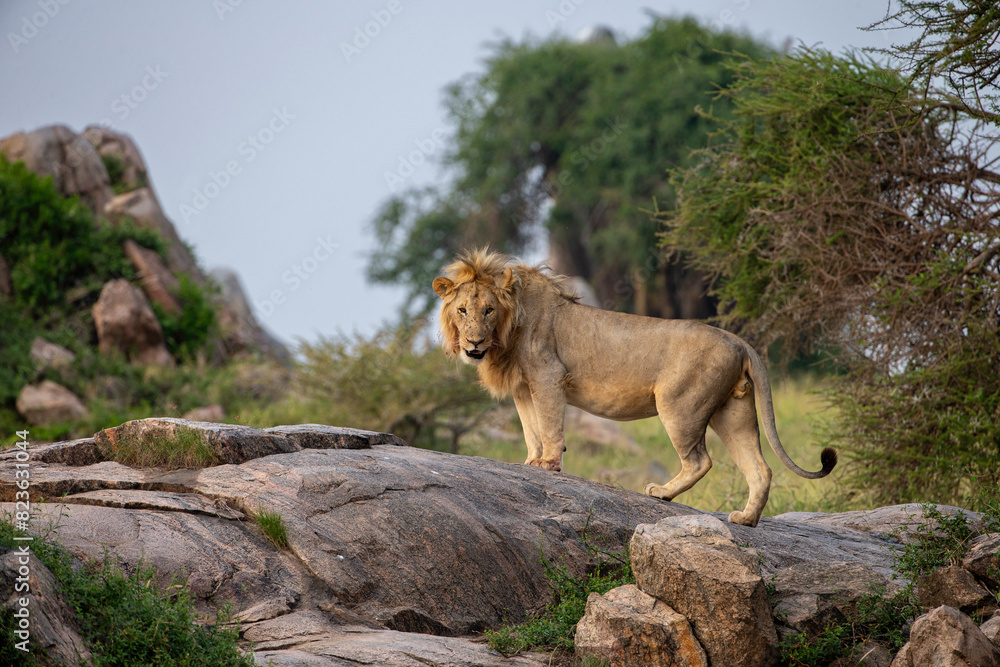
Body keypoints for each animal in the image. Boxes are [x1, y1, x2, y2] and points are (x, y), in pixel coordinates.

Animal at [432, 248, 836, 527]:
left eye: (488, 310)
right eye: (463, 310)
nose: (473, 343)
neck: (508, 330)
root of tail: (737, 339)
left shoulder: (548, 375)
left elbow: (548, 425)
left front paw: (548, 465)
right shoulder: (523, 386)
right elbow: (531, 428)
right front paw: (532, 462)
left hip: (679, 405)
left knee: (700, 461)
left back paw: (662, 493)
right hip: (733, 411)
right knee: (760, 468)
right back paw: (746, 520)